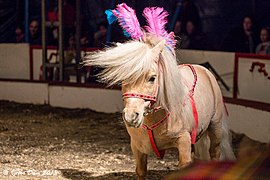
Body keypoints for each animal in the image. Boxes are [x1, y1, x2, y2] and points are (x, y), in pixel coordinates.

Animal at [83, 3, 235, 179]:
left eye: (152, 78)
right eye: (123, 78)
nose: (131, 116)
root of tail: (205, 71)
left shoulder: (183, 142)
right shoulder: (137, 147)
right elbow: (141, 170)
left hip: (215, 128)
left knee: (215, 152)